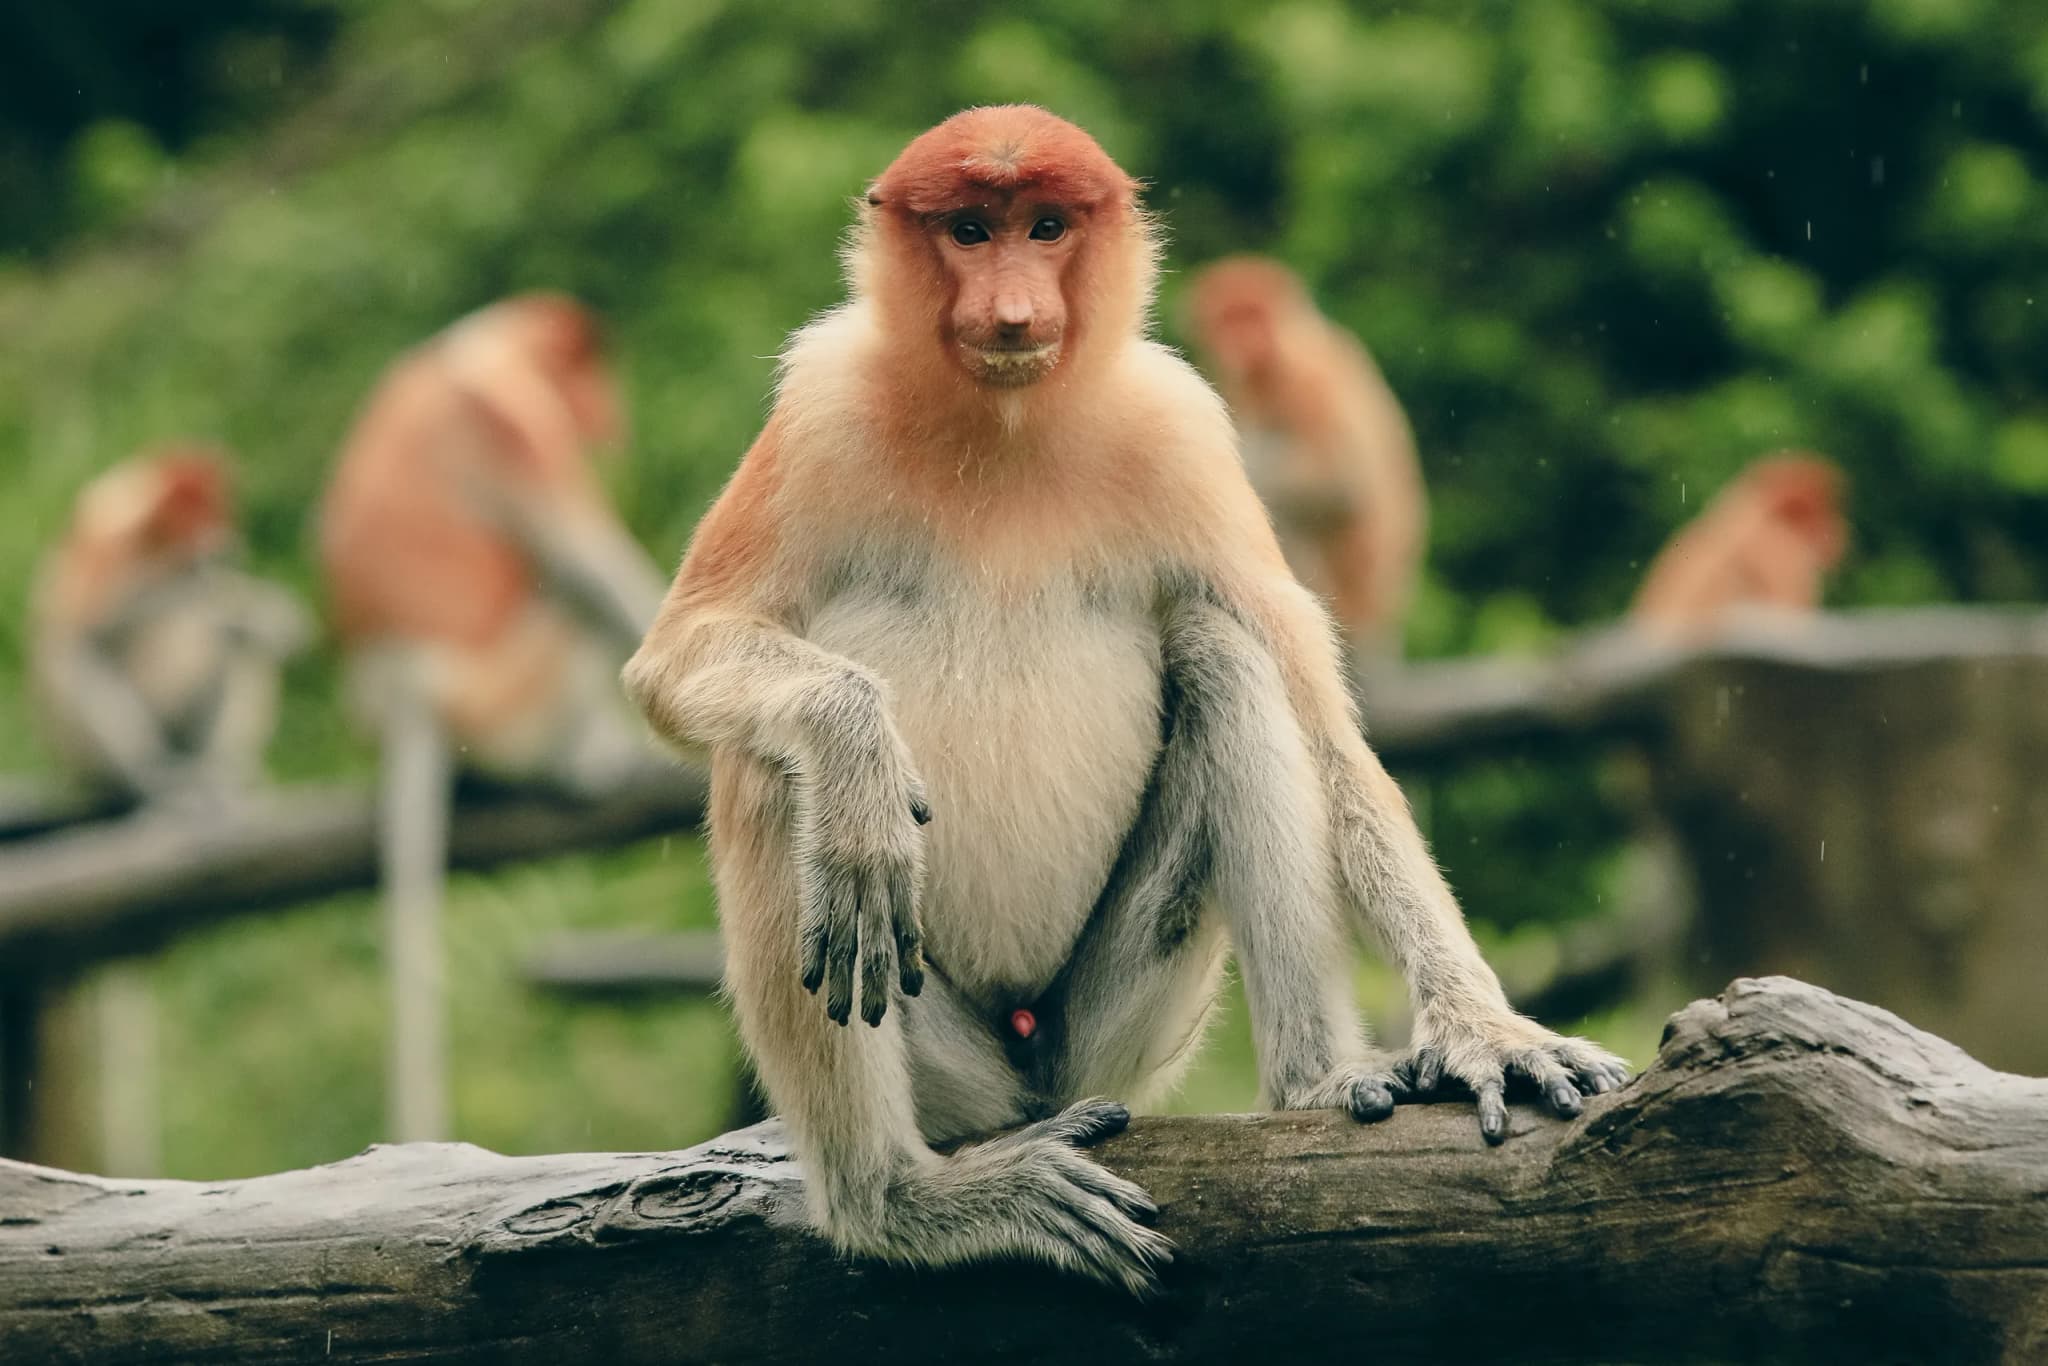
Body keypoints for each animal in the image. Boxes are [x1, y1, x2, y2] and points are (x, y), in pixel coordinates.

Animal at [29, 445, 307, 808]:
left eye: (220, 509)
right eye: (196, 511)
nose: (222, 543)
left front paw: (266, 611)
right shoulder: (108, 543)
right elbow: (89, 637)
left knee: (236, 647)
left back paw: (221, 770)